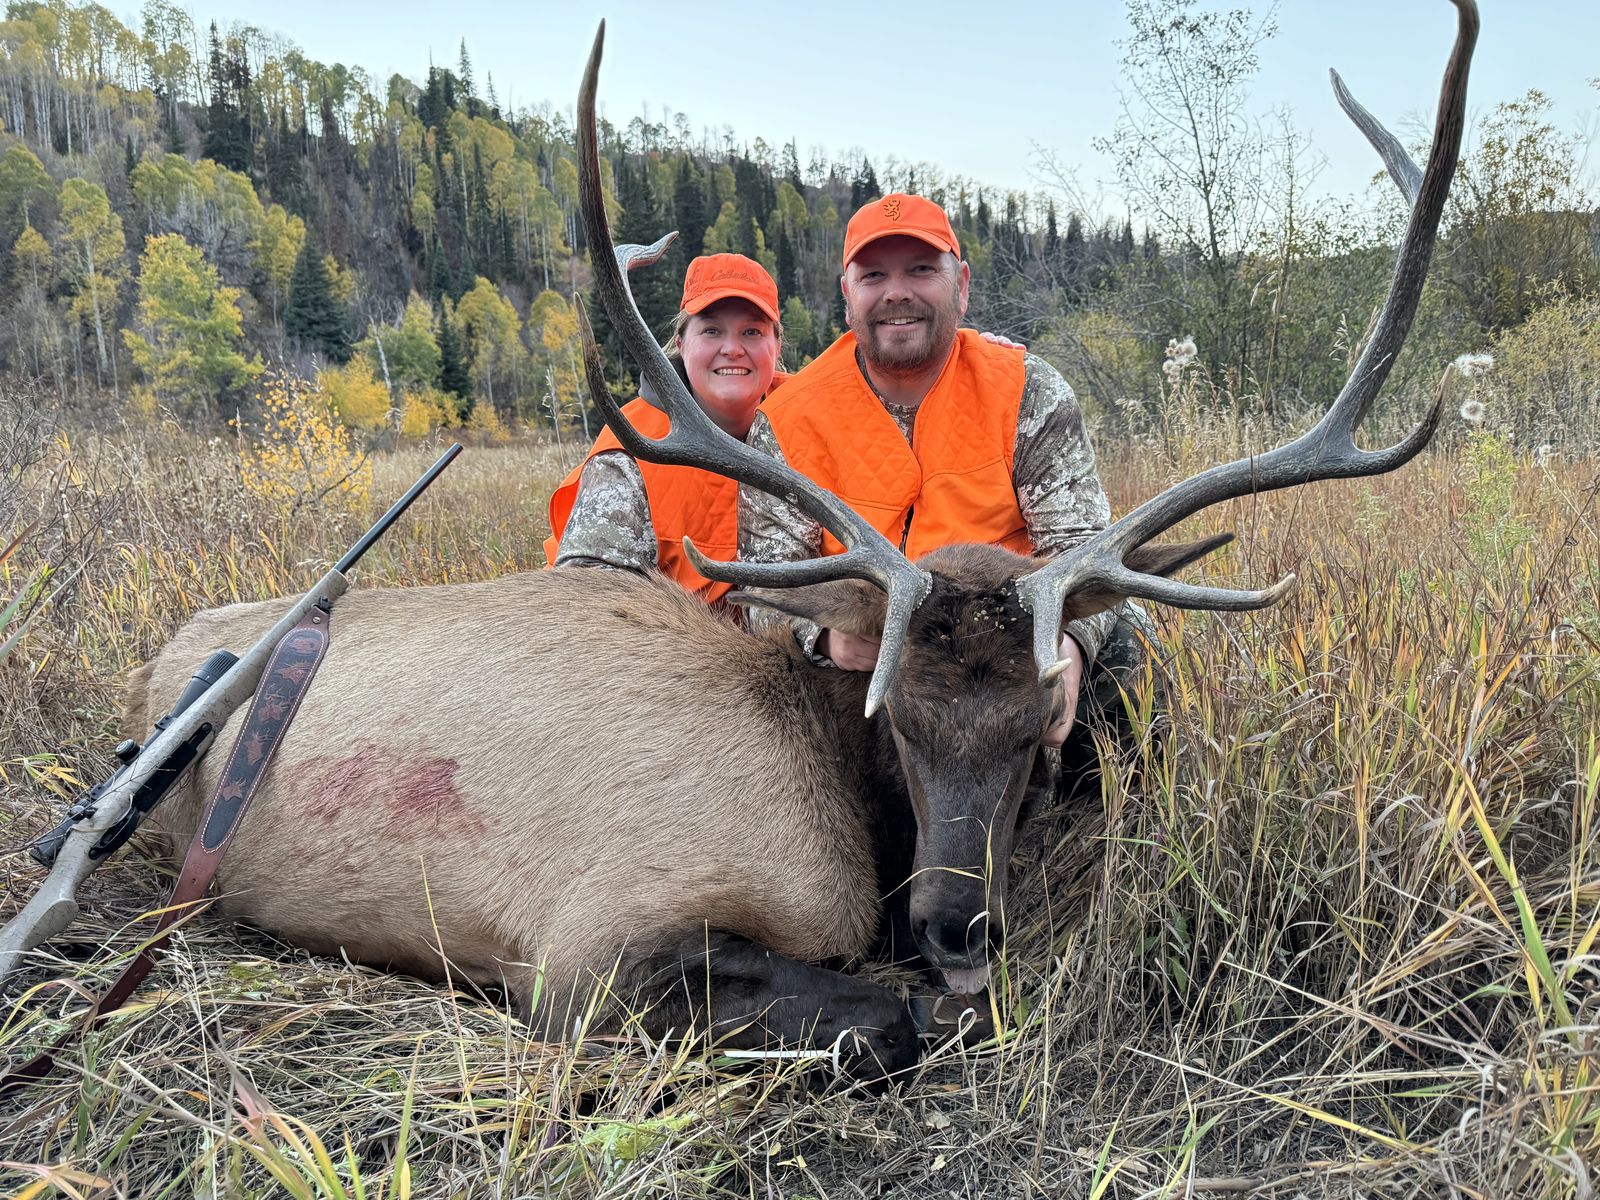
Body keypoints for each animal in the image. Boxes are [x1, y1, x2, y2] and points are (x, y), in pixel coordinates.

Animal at [116, 4, 1475, 1079]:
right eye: (897, 722)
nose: (953, 929)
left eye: (1037, 731)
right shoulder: (588, 947)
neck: (840, 797)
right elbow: (887, 1021)